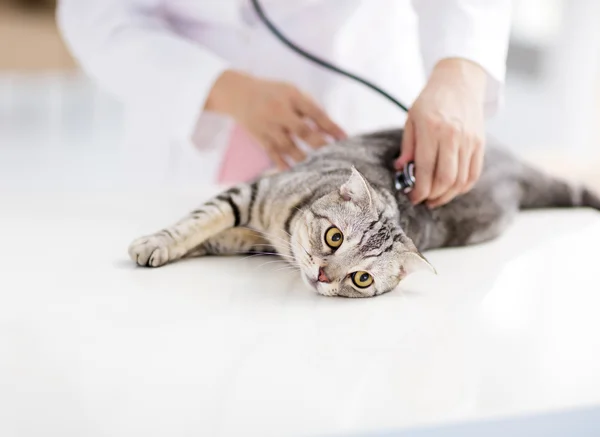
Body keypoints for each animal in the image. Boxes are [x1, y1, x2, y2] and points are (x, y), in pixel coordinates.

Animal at [127, 127, 600, 298]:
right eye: (334, 236)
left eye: (361, 279)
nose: (322, 275)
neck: (278, 233)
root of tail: (512, 164)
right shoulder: (250, 192)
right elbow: (198, 222)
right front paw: (157, 243)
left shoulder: (251, 234)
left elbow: (214, 236)